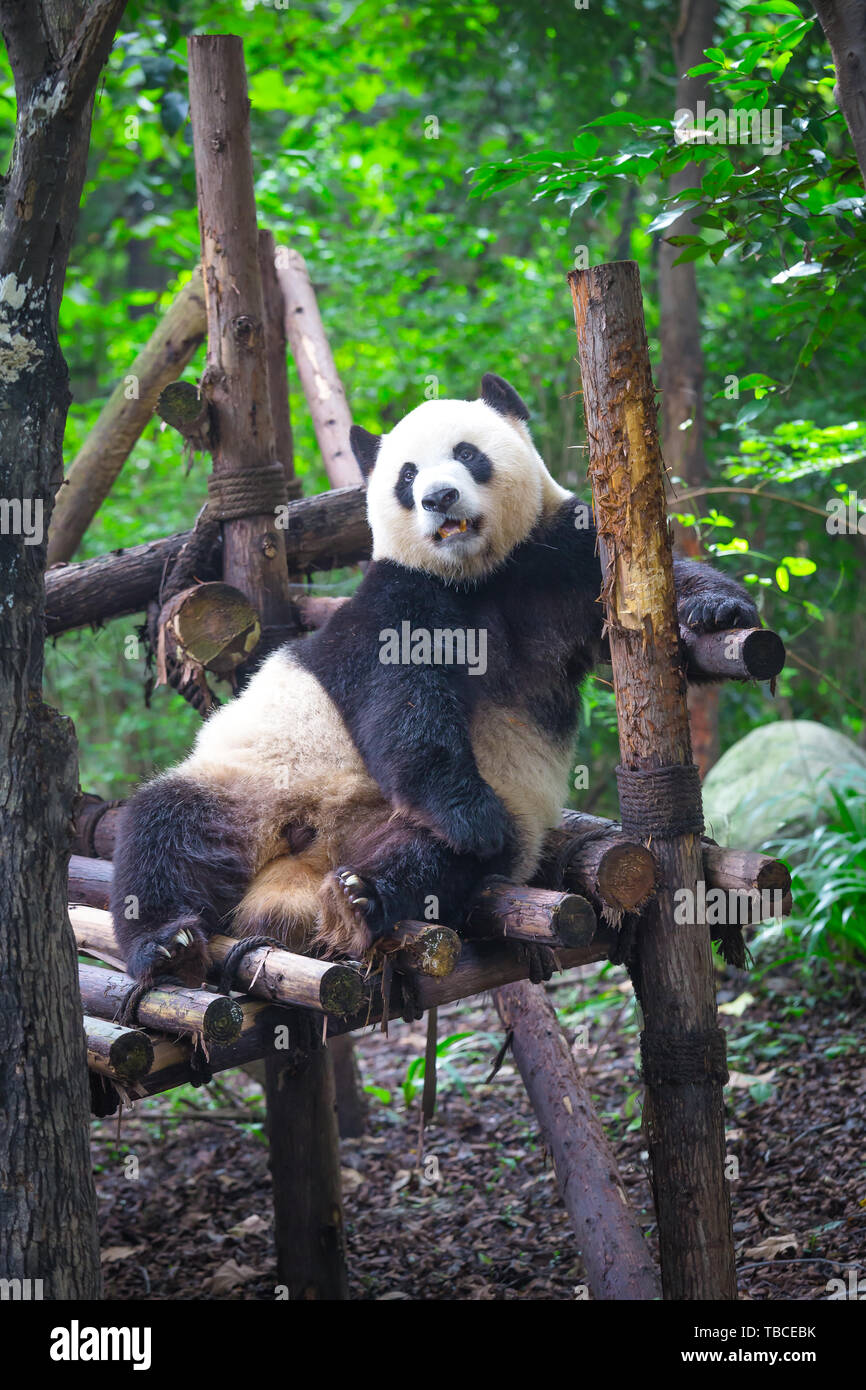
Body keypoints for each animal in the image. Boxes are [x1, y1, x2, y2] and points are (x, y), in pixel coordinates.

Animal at [109, 366, 756, 978]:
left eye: (467, 454)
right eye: (406, 476)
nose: (439, 498)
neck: (479, 576)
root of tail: (305, 861)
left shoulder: (555, 559)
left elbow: (642, 600)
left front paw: (718, 609)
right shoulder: (397, 598)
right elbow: (403, 702)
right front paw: (467, 811)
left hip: (434, 818)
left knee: (441, 859)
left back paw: (363, 897)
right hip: (250, 785)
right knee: (165, 826)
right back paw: (166, 941)